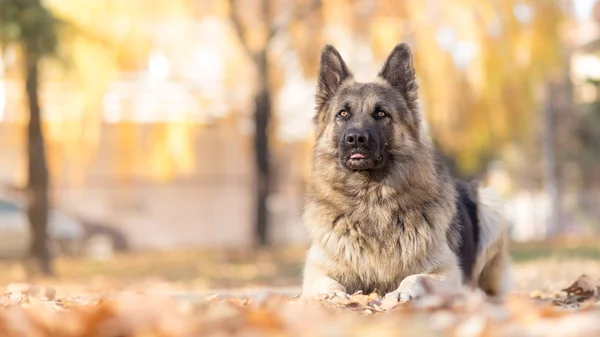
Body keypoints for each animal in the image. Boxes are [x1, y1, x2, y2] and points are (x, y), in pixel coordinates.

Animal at [300, 42, 510, 302]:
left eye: (381, 113)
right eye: (343, 114)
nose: (355, 139)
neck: (371, 200)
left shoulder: (447, 272)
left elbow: (416, 277)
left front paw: (403, 292)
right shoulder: (316, 271)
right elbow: (326, 282)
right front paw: (331, 295)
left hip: (491, 204)